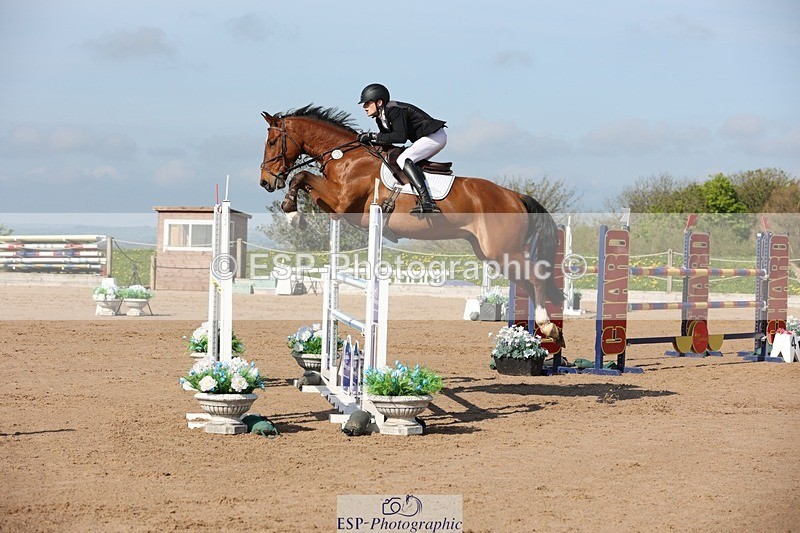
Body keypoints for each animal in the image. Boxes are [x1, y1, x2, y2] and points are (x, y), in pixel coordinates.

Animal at [259, 105, 565, 347]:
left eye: (273, 142)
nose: (266, 182)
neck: (345, 157)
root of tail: (514, 196)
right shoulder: (337, 207)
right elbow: (305, 180)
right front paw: (294, 213)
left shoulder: (344, 202)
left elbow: (301, 176)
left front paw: (293, 214)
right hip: (493, 254)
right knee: (526, 281)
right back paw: (548, 330)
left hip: (502, 251)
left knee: (536, 276)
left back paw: (547, 325)